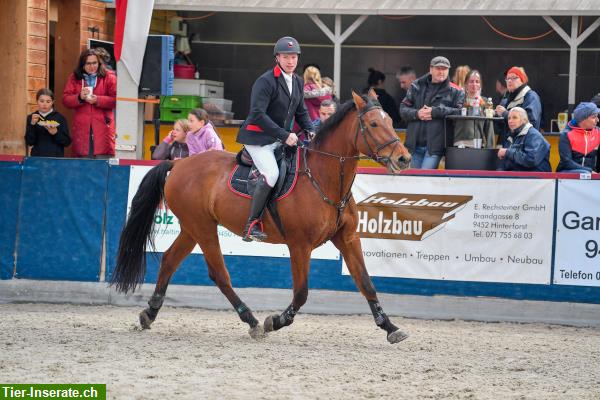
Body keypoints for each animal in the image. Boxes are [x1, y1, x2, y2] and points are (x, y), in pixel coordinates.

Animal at [110, 90, 412, 344]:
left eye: (389, 120)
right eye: (373, 124)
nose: (404, 158)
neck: (323, 178)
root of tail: (179, 163)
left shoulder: (348, 238)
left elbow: (367, 284)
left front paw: (390, 327)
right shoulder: (299, 245)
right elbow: (301, 293)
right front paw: (275, 321)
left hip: (191, 228)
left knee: (170, 261)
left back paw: (149, 314)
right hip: (203, 228)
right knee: (219, 274)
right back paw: (252, 321)